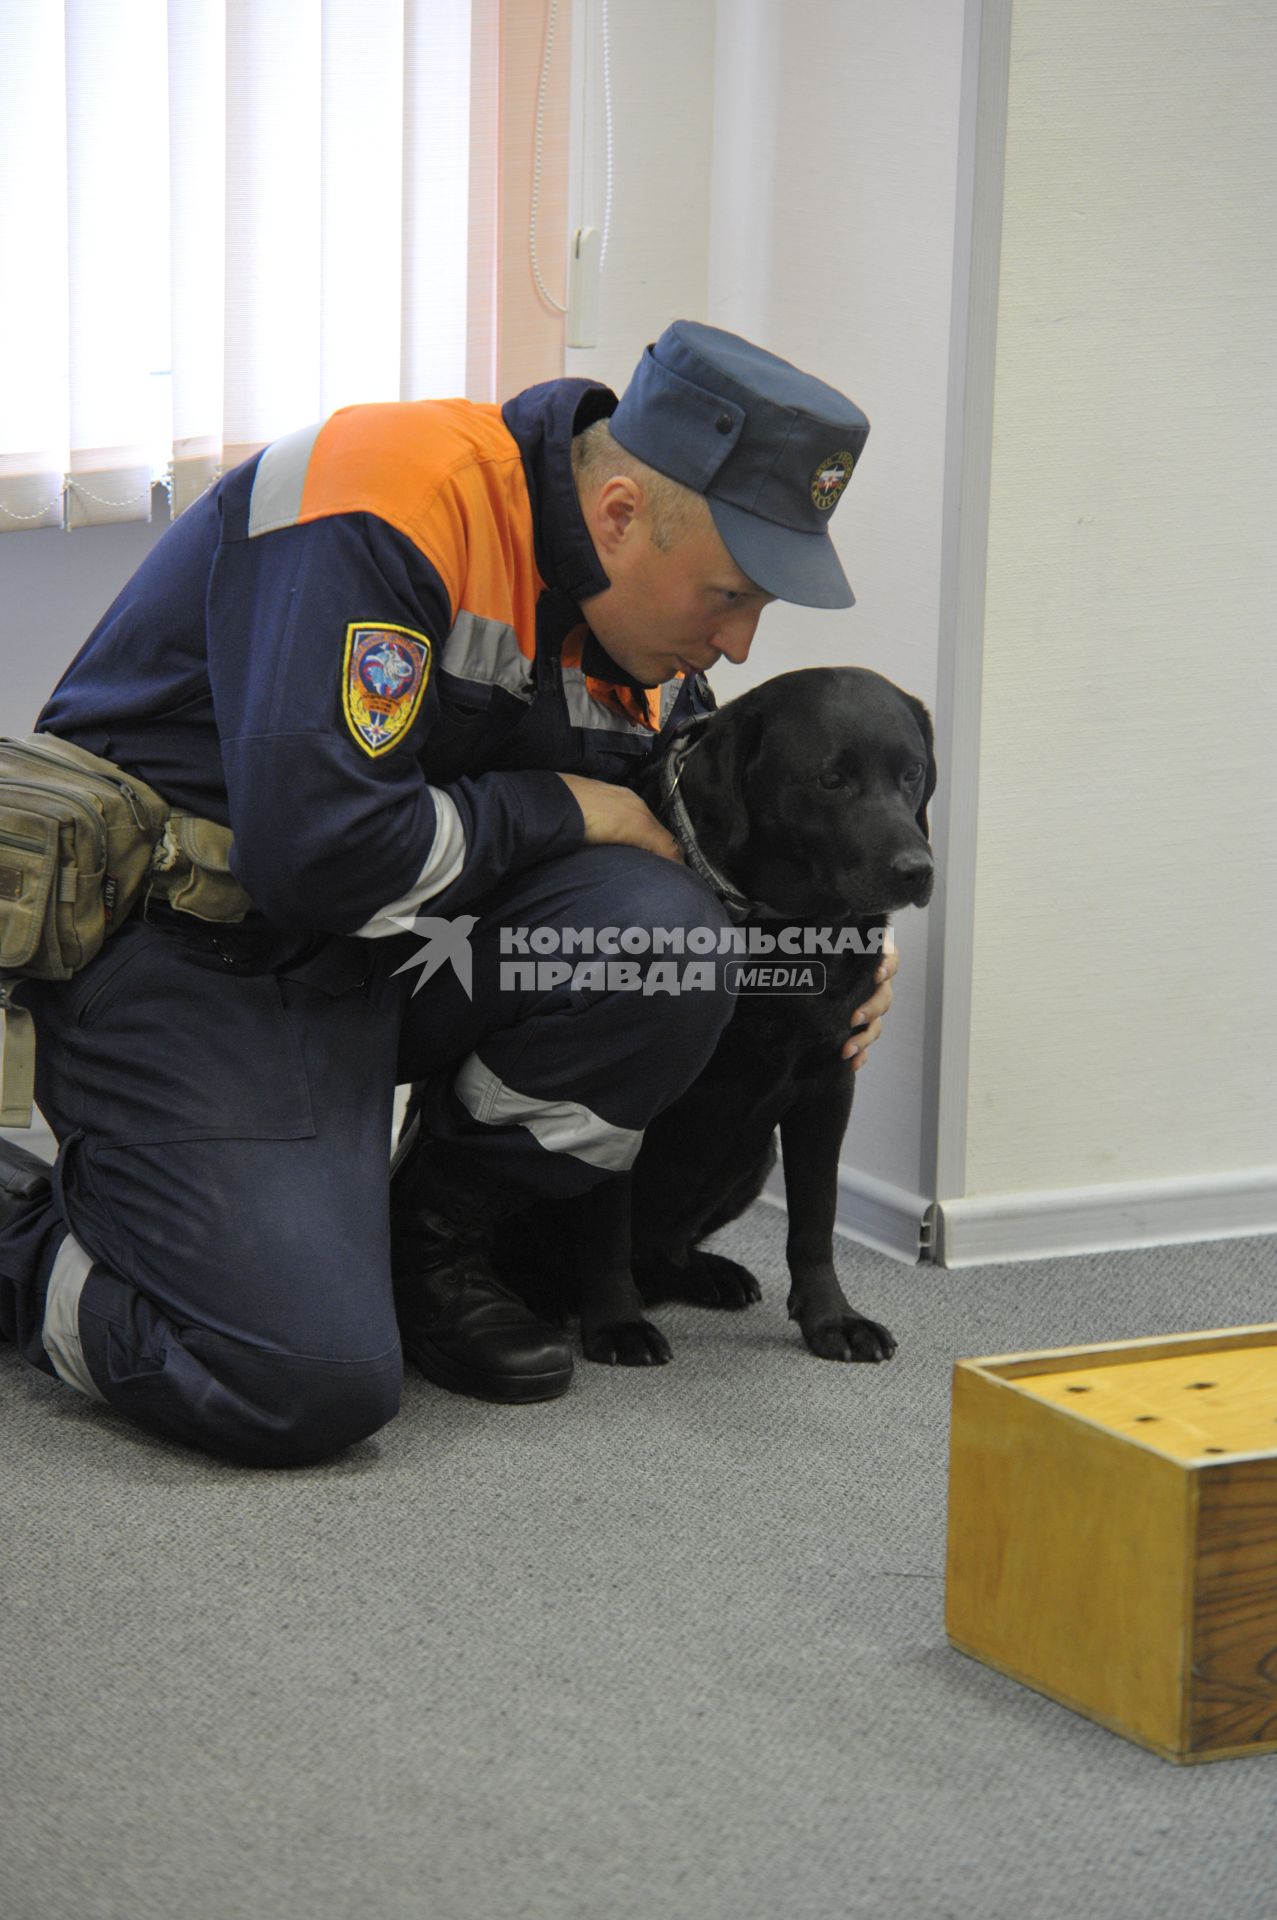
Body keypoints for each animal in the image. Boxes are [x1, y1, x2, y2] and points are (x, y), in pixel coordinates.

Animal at [491, 668, 933, 1374]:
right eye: (830, 779)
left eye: (912, 773)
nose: (918, 871)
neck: (785, 935)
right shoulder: (624, 1092)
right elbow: (604, 1225)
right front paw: (616, 1323)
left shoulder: (828, 1085)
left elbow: (816, 1219)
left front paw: (833, 1318)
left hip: (756, 1157)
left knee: (660, 1251)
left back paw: (704, 1272)